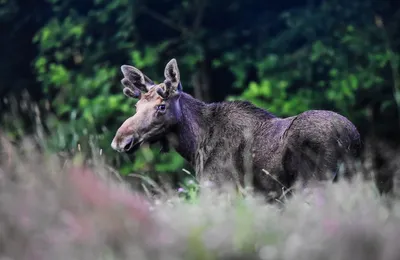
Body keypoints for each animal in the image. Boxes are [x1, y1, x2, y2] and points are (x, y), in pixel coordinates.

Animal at [111, 58, 360, 201]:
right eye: (136, 106)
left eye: (161, 106)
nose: (120, 140)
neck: (194, 146)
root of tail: (352, 138)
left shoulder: (221, 188)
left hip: (316, 182)